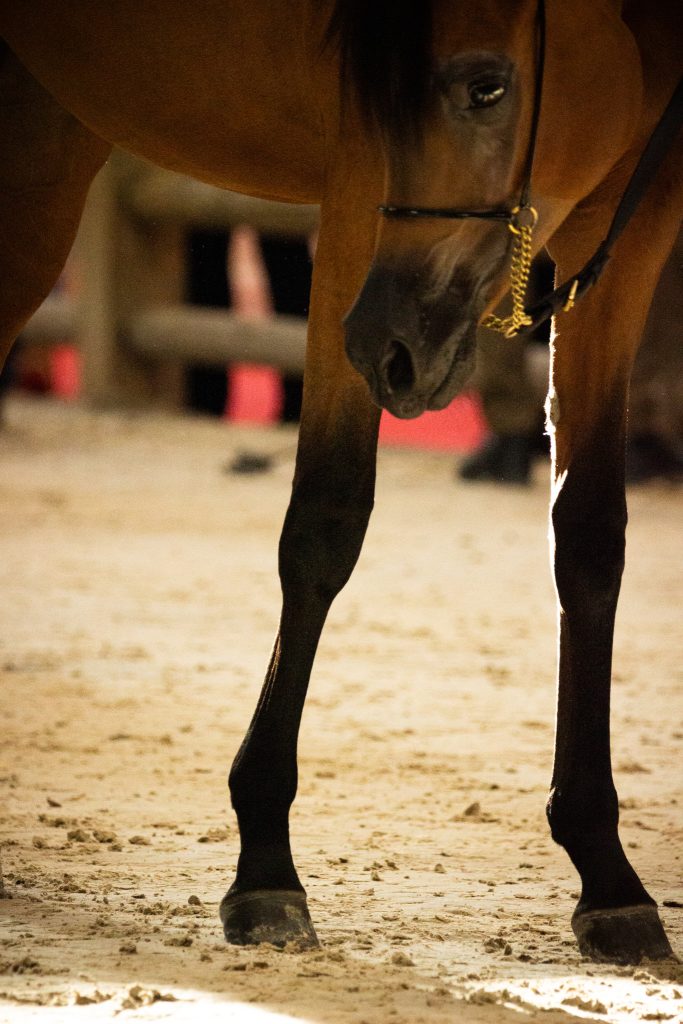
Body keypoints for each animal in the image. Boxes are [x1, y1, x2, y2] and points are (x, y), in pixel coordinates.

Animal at [1, 0, 680, 966]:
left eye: (486, 87)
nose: (384, 347)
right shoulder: (359, 186)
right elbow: (323, 524)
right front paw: (265, 867)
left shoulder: (630, 220)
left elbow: (587, 538)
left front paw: (608, 875)